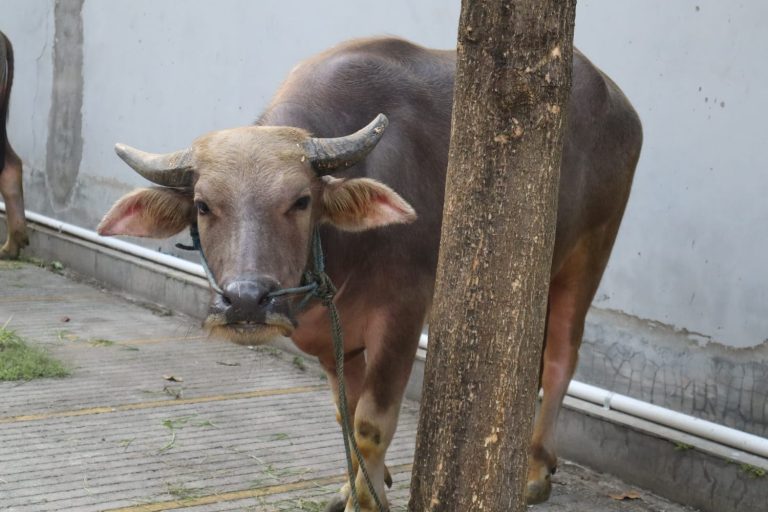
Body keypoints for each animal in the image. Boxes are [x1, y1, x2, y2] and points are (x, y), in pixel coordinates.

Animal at [100, 37, 640, 512]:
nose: (247, 301)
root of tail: (619, 104)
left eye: (301, 201)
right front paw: (361, 482)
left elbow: (371, 423)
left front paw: (366, 497)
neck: (338, 254)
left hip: (592, 250)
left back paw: (534, 472)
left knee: (561, 357)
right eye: (203, 204)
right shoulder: (335, 338)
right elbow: (345, 413)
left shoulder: (402, 315)